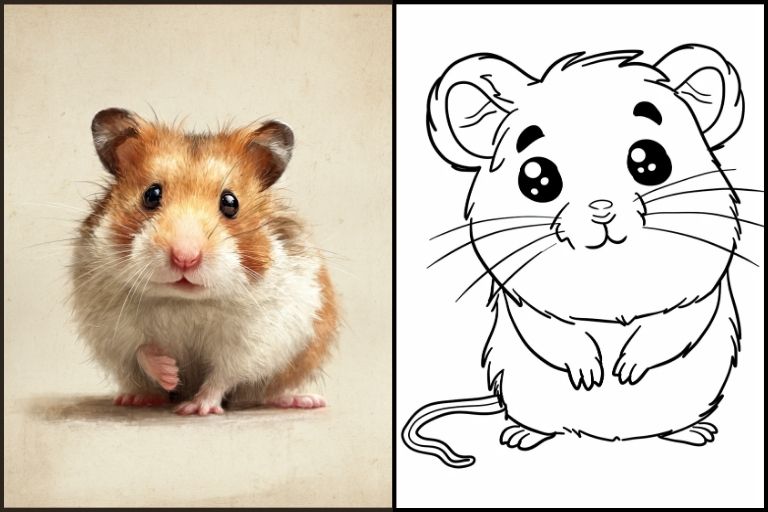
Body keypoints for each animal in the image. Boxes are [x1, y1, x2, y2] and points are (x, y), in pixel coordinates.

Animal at [71, 108, 339, 415]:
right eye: (151, 195)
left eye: (230, 202)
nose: (185, 258)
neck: (184, 302)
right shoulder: (113, 328)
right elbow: (141, 351)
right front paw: (170, 373)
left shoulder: (254, 339)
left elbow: (222, 376)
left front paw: (196, 408)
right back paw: (135, 398)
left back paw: (304, 400)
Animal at [403, 45, 757, 467]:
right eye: (537, 178)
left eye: (650, 161)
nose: (601, 209)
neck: (604, 271)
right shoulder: (526, 302)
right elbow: (551, 330)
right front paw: (590, 374)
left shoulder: (701, 290)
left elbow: (676, 322)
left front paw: (626, 370)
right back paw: (522, 435)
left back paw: (692, 432)